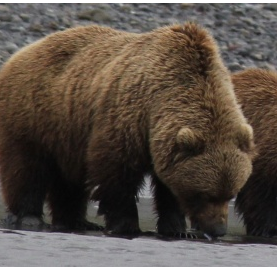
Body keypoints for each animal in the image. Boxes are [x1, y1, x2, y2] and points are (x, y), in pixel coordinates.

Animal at [0, 22, 254, 238]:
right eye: (204, 194)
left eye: (231, 193)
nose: (219, 230)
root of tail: (21, 53)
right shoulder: (128, 117)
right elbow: (116, 173)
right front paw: (127, 225)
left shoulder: (162, 141)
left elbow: (168, 186)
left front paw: (178, 229)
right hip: (35, 114)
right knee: (27, 168)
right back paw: (30, 217)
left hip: (67, 132)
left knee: (69, 180)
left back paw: (77, 221)